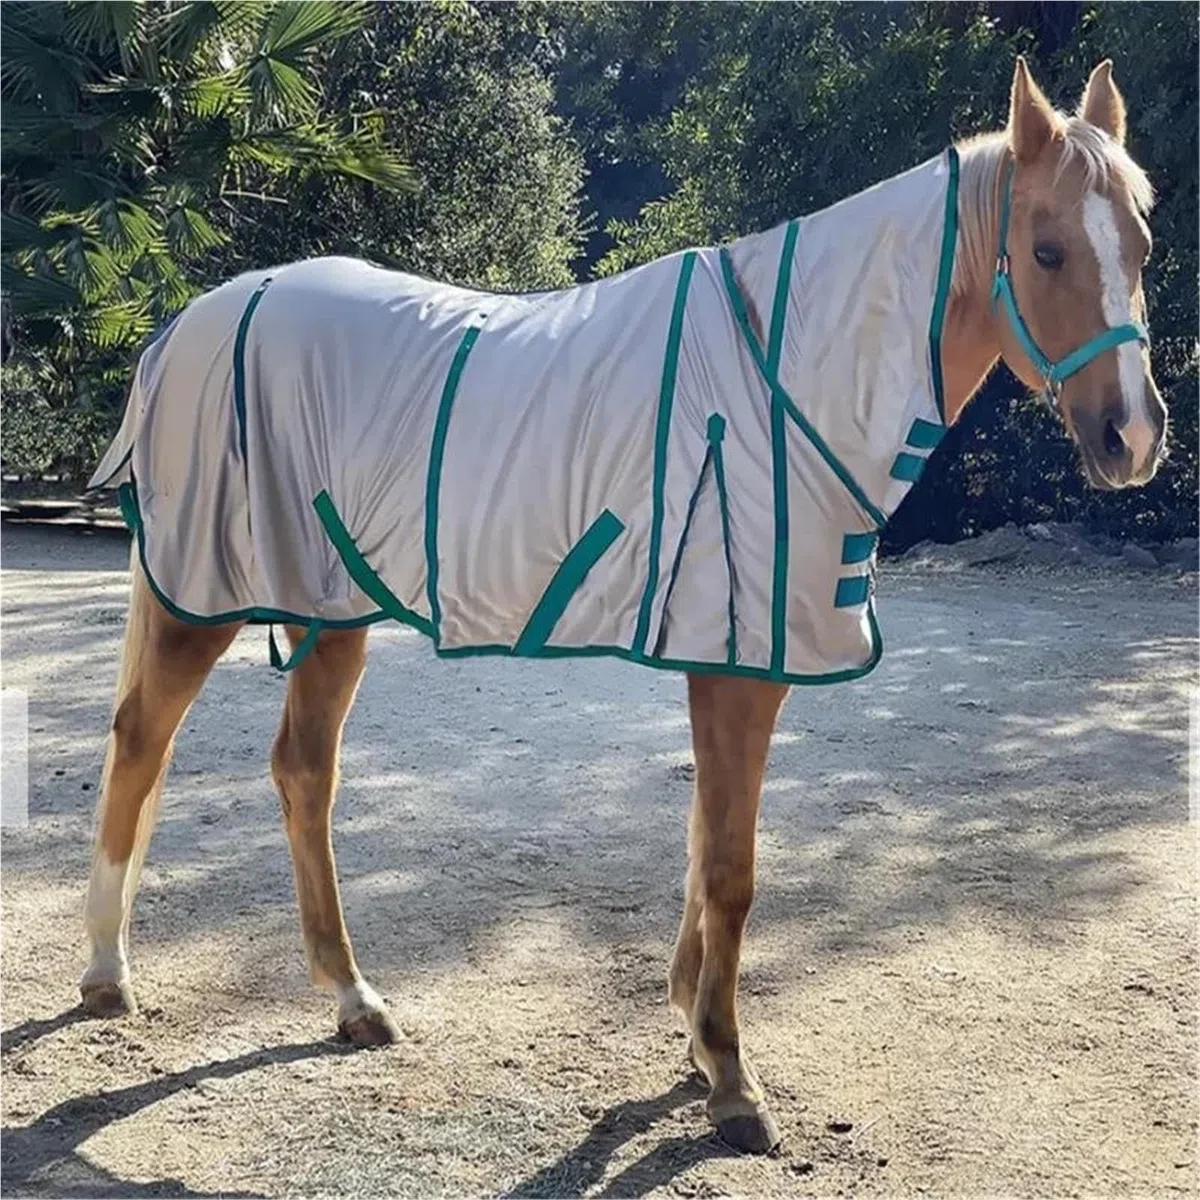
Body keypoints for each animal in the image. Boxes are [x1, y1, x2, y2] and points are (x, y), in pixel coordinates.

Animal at [78, 58, 1167, 1154]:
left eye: (1143, 245)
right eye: (1047, 248)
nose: (1134, 438)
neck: (785, 373)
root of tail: (189, 323)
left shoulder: (735, 656)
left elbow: (701, 844)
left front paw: (692, 1030)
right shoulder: (737, 665)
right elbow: (731, 866)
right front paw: (730, 1077)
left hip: (329, 607)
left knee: (302, 773)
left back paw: (353, 999)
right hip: (204, 599)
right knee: (140, 744)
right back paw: (108, 977)